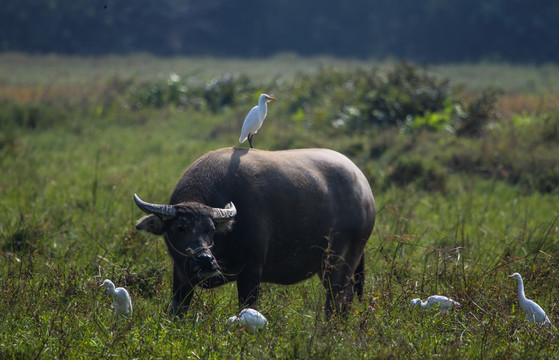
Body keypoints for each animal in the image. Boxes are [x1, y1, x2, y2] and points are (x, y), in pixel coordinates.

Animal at [135, 147, 376, 318]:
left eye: (210, 229)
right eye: (180, 228)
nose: (205, 260)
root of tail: (365, 189)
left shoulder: (251, 270)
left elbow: (247, 309)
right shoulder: (180, 274)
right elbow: (177, 311)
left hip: (343, 261)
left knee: (338, 300)